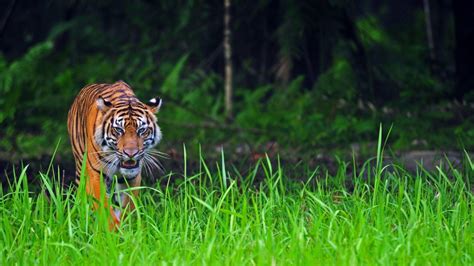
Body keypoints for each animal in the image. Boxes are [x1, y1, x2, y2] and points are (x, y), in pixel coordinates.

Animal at [66, 80, 163, 227]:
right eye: (118, 130)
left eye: (141, 130)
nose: (131, 153)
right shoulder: (96, 175)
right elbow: (105, 209)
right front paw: (113, 230)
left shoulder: (132, 177)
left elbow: (128, 207)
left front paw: (126, 228)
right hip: (80, 168)